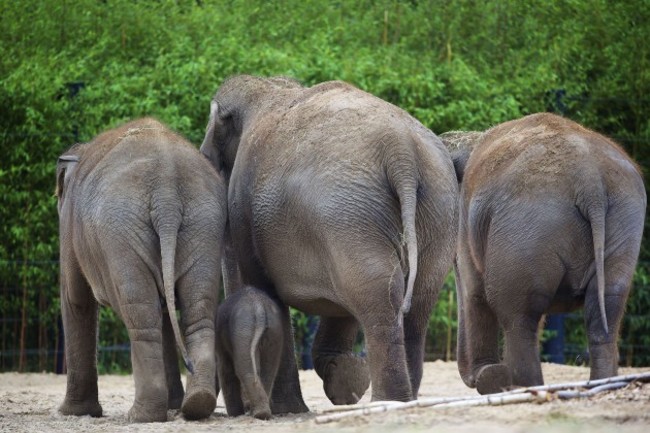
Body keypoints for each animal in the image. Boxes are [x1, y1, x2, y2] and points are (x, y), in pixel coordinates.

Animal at [56, 116, 228, 420]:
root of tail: (166, 190)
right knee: (198, 310)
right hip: (205, 222)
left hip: (121, 232)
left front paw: (71, 413)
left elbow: (76, 299)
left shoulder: (69, 228)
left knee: (141, 314)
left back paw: (140, 415)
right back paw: (196, 404)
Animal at [200, 72, 458, 406]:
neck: (265, 87)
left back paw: (386, 401)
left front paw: (291, 407)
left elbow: (266, 288)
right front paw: (346, 382)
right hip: (434, 208)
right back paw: (401, 398)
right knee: (415, 297)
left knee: (376, 290)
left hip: (350, 216)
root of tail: (401, 151)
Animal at [216, 286, 282, 420]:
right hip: (274, 331)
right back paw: (262, 413)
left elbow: (225, 370)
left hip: (243, 331)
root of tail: (259, 307)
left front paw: (235, 414)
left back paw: (259, 414)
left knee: (244, 369)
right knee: (269, 370)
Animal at [438, 112, 644, 394]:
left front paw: (489, 377)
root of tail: (590, 180)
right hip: (623, 219)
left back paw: (523, 387)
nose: (474, 377)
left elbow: (475, 292)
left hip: (527, 221)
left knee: (517, 311)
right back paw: (603, 384)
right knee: (607, 306)